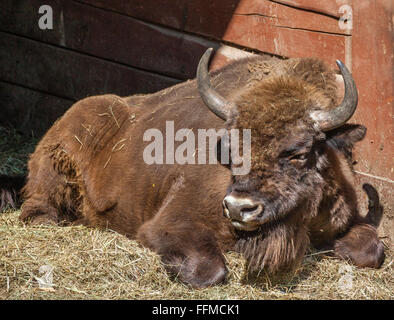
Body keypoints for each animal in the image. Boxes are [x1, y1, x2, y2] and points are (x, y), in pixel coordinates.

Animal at [11, 49, 384, 288]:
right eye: (231, 146)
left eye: (298, 152)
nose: (239, 207)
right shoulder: (172, 223)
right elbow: (209, 270)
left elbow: (371, 251)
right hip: (55, 168)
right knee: (37, 209)